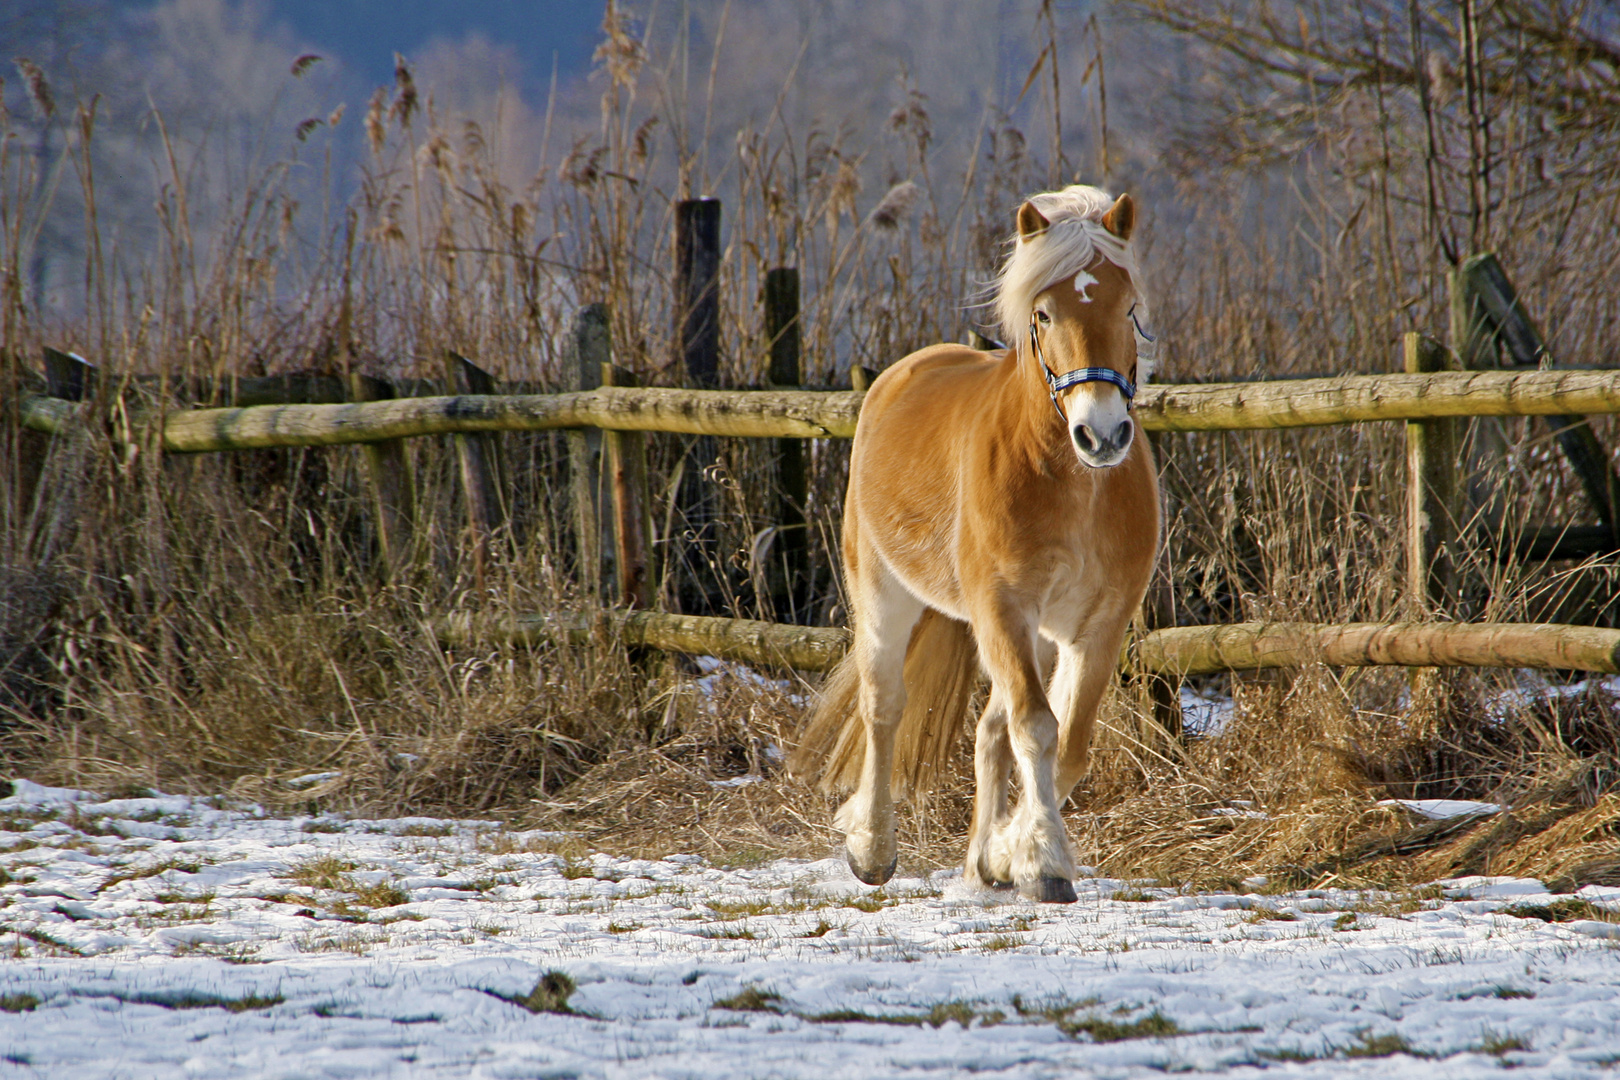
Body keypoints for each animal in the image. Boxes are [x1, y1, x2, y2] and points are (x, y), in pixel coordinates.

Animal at [787, 183, 1159, 906]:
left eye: (1129, 307)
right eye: (1043, 312)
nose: (1102, 435)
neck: (1075, 486)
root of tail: (902, 373)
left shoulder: (1098, 623)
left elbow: (1069, 741)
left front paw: (1013, 853)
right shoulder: (1002, 608)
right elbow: (1036, 727)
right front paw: (1043, 862)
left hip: (1037, 635)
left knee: (990, 729)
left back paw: (982, 863)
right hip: (884, 595)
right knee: (884, 707)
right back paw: (871, 849)